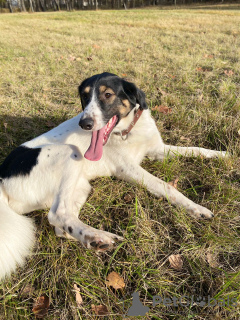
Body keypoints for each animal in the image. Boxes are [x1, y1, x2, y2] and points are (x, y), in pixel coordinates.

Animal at [0, 73, 227, 280]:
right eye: (84, 96)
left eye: (107, 94)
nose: (85, 123)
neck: (128, 131)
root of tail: (2, 178)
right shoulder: (128, 169)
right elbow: (167, 186)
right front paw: (196, 208)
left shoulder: (158, 150)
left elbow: (195, 149)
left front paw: (222, 155)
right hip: (70, 153)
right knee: (57, 214)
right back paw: (98, 236)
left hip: (80, 187)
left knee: (61, 228)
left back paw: (91, 240)